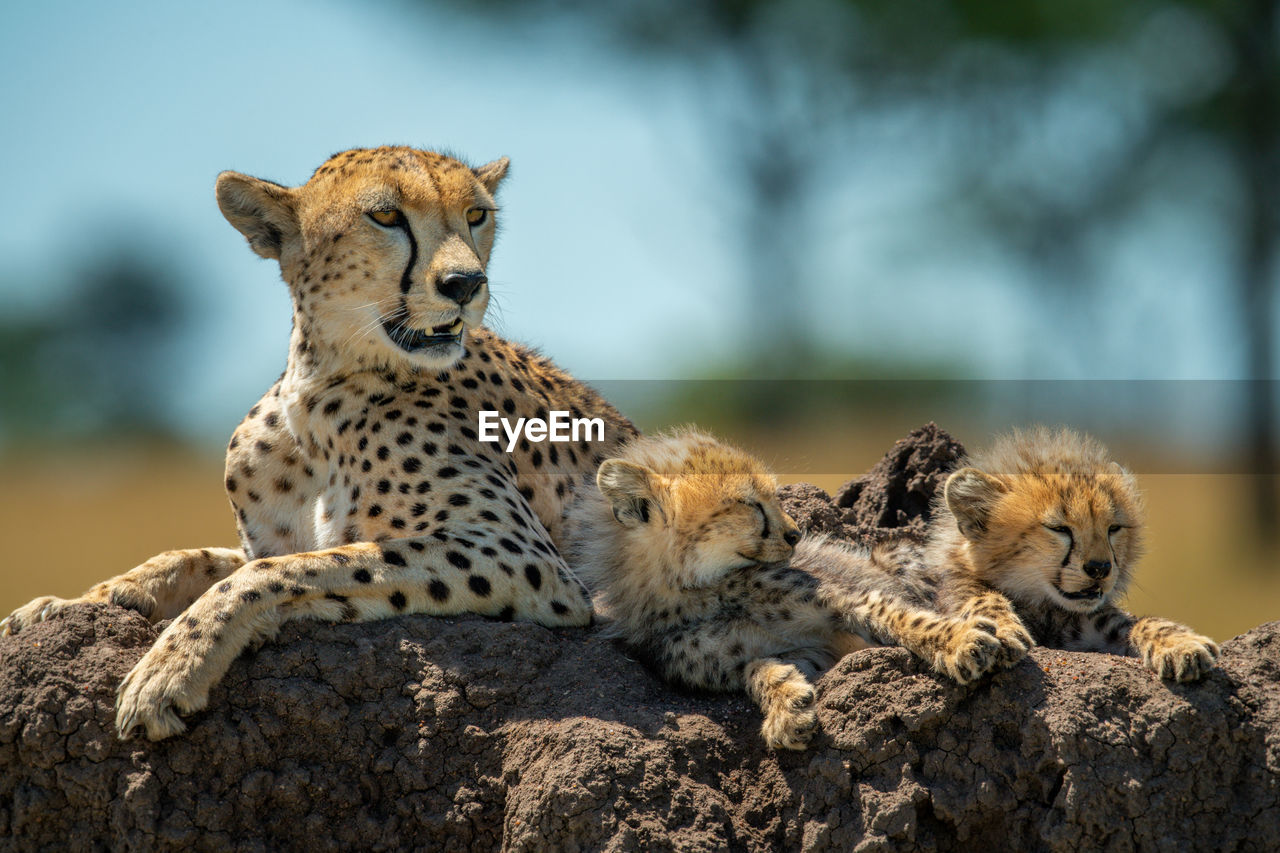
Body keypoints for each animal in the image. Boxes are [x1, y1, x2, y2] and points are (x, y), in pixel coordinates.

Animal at [0, 146, 637, 737]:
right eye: (386, 216)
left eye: (476, 214)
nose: (465, 284)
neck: (319, 387)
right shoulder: (270, 540)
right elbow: (195, 559)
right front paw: (65, 607)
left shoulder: (526, 559)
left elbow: (283, 572)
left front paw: (169, 670)